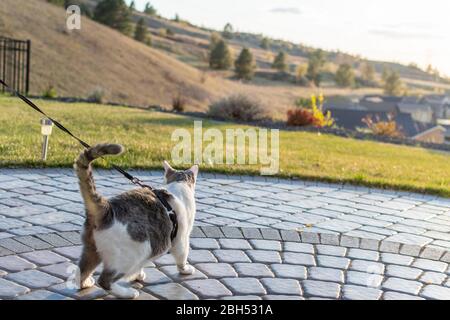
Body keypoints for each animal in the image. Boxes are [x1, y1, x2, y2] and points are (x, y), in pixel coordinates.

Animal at [74, 144, 197, 298]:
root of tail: (106, 207)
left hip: (91, 251)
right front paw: (185, 269)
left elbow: (140, 267)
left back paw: (85, 283)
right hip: (139, 249)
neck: (178, 185)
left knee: (81, 272)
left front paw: (138, 275)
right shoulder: (181, 239)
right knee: (104, 280)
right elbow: (182, 257)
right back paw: (128, 293)